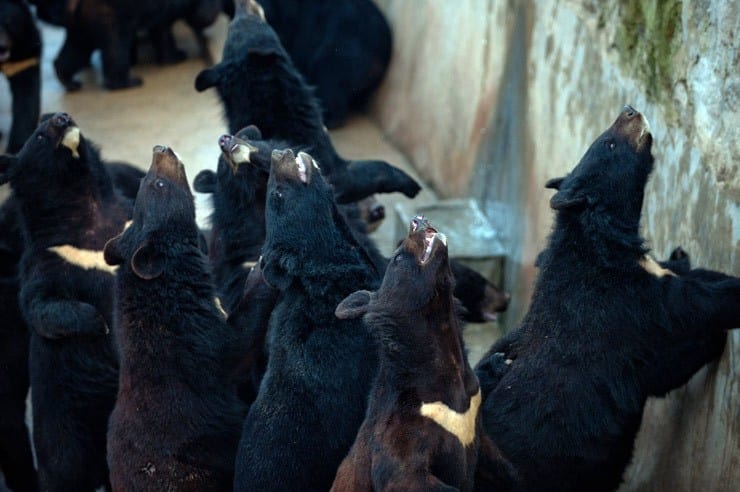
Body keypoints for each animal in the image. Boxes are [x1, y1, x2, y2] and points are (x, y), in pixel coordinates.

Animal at [0, 112, 132, 491]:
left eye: (56, 120)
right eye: (41, 136)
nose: (62, 117)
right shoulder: (49, 262)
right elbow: (39, 303)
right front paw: (97, 322)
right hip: (65, 422)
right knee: (64, 470)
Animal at [50, 0, 221, 90]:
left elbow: (160, 28)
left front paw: (175, 55)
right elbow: (199, 17)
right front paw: (176, 57)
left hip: (81, 23)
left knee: (77, 49)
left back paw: (68, 80)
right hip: (108, 16)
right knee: (116, 47)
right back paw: (128, 82)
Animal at [473, 105, 740, 491]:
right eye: (609, 143)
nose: (630, 110)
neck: (600, 238)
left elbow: (686, 282)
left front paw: (683, 258)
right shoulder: (625, 303)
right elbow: (685, 318)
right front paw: (718, 330)